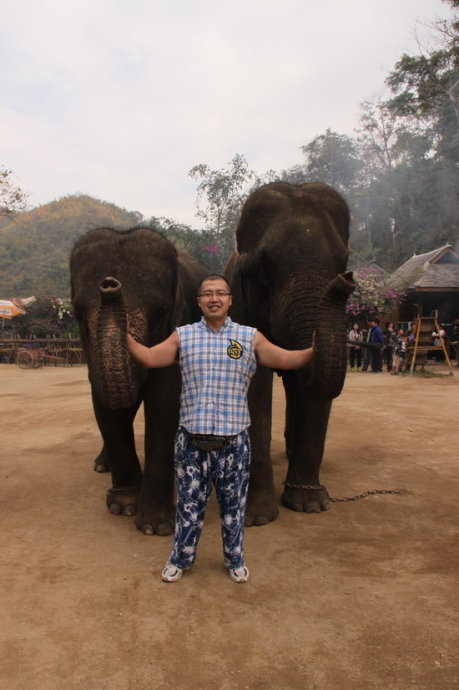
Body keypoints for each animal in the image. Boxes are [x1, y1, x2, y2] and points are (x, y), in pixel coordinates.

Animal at [70, 226, 207, 532]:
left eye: (160, 311)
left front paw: (154, 526)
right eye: (77, 312)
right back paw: (102, 465)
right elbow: (103, 403)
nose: (110, 284)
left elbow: (165, 400)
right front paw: (123, 506)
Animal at [226, 180, 356, 524]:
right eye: (263, 264)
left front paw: (310, 506)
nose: (347, 280)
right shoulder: (241, 306)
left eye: (343, 263)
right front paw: (257, 518)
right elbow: (254, 388)